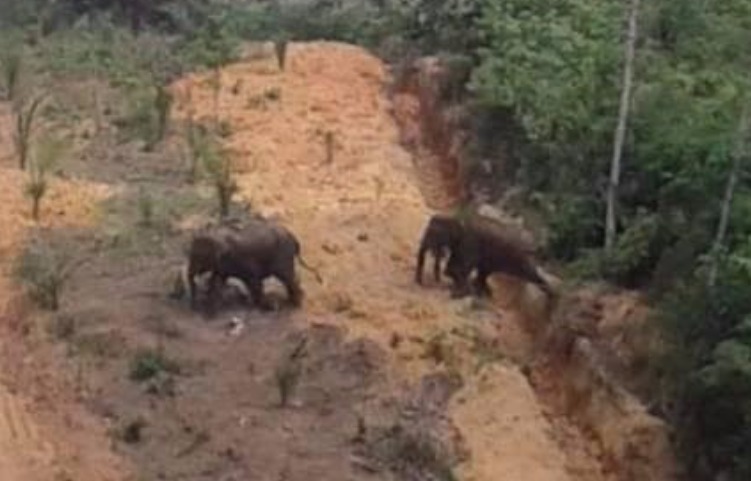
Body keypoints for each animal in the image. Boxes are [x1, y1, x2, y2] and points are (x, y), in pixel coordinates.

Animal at [187, 216, 320, 314]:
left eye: (198, 256)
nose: (194, 309)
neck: (216, 234)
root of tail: (293, 237)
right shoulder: (223, 264)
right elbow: (217, 281)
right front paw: (211, 312)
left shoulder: (243, 259)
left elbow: (254, 280)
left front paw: (268, 306)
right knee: (289, 277)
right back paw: (293, 300)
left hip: (283, 254)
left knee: (287, 276)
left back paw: (296, 304)